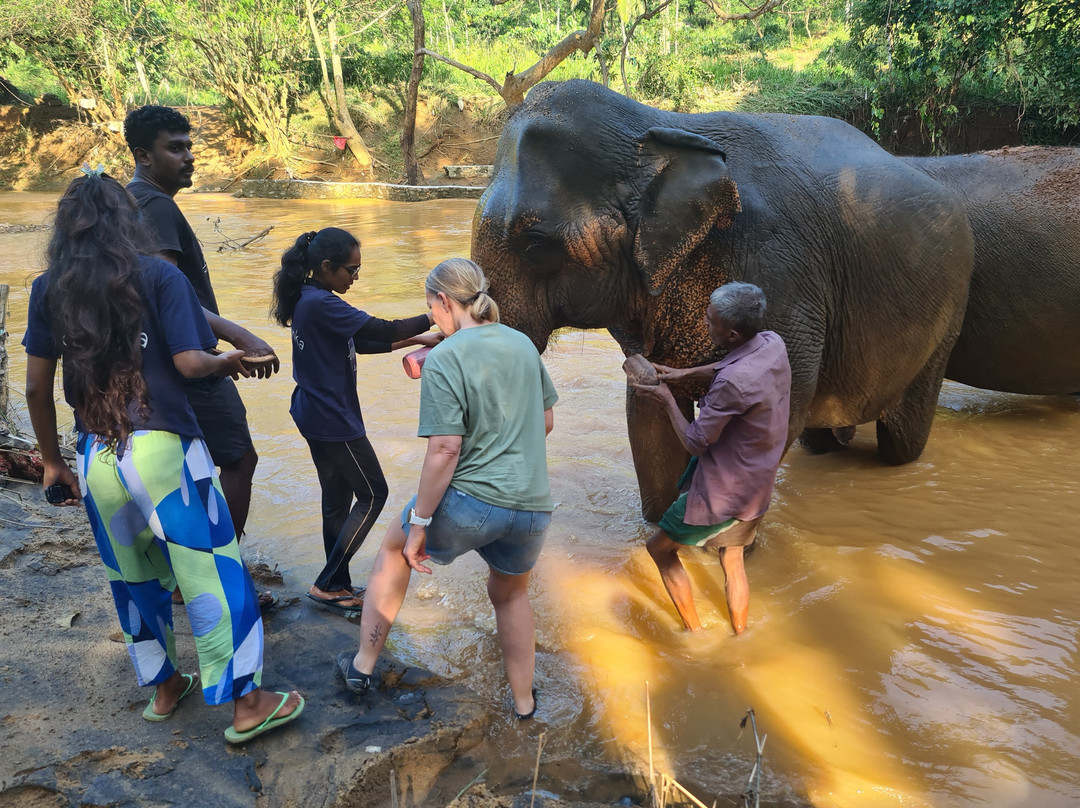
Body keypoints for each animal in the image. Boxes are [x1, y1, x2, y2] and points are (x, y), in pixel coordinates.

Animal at [471, 79, 974, 521]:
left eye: (536, 245)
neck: (660, 126)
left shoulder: (779, 270)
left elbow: (783, 404)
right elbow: (649, 410)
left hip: (949, 312)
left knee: (901, 438)